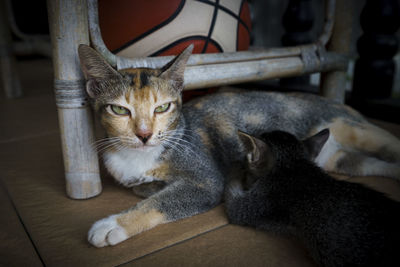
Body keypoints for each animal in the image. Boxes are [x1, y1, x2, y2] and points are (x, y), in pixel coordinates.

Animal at [77, 43, 400, 247]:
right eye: (119, 110)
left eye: (163, 108)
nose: (144, 134)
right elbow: (145, 188)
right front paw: (149, 188)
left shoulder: (206, 180)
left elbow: (164, 201)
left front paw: (113, 225)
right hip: (340, 159)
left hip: (355, 130)